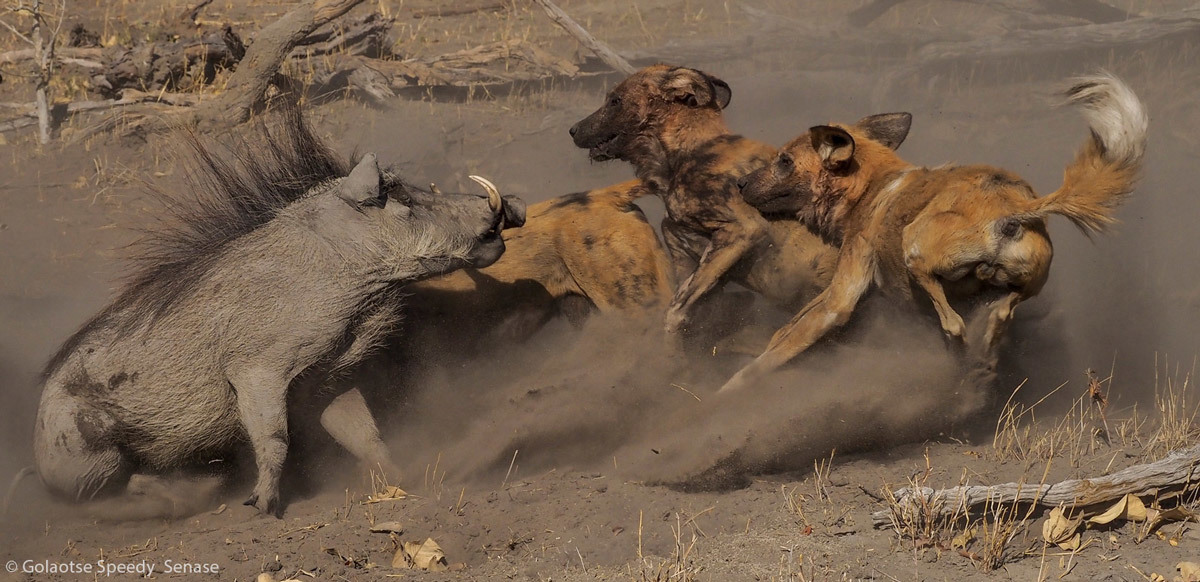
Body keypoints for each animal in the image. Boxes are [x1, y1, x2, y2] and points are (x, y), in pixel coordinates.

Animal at [571, 63, 844, 336]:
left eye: (615, 101)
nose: (572, 130)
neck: (684, 158)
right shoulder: (686, 257)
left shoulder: (741, 230)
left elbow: (674, 313)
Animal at [715, 71, 1147, 391]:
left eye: (784, 161)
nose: (740, 184)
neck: (868, 187)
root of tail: (1012, 206)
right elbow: (782, 334)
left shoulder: (839, 299)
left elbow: (769, 355)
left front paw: (723, 398)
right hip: (1019, 286)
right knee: (998, 313)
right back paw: (982, 356)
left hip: (915, 246)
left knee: (951, 320)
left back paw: (960, 352)